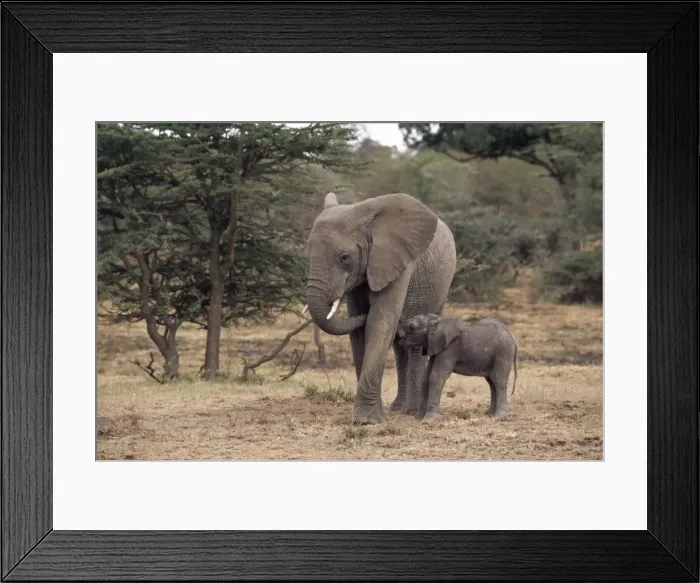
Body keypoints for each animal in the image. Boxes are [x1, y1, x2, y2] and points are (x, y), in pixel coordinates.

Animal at [304, 191, 456, 425]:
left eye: (344, 258)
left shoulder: (396, 262)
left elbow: (378, 323)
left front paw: (367, 421)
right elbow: (359, 333)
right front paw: (364, 418)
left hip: (441, 289)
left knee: (415, 344)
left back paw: (411, 411)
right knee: (400, 346)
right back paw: (398, 407)